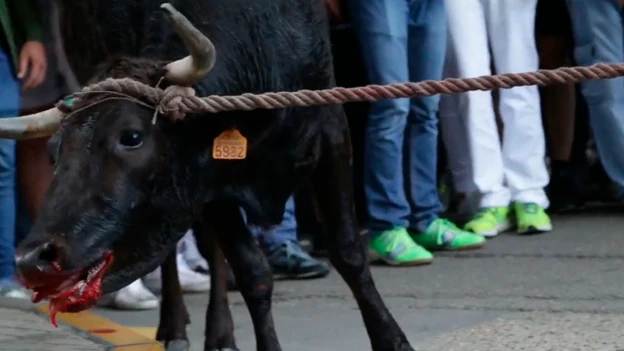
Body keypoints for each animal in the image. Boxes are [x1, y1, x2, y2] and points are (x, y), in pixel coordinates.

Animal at [2, 0, 414, 351]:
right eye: (54, 152)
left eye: (131, 136)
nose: (32, 259)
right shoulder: (207, 183)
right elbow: (253, 271)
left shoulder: (331, 128)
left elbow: (349, 252)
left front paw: (393, 341)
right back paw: (175, 327)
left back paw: (221, 334)